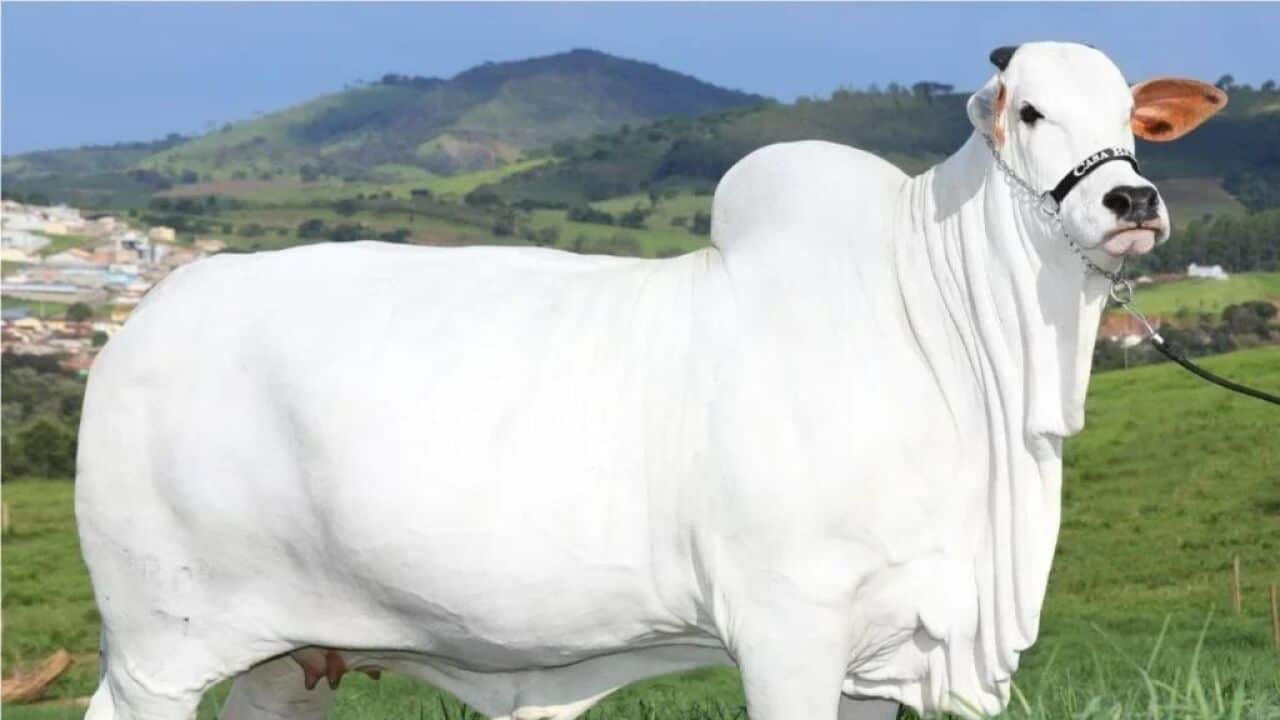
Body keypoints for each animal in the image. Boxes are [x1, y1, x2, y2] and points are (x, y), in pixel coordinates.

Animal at [77, 42, 1225, 720]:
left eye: (1131, 115)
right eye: (1028, 112)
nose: (1131, 202)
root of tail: (144, 325)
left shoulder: (882, 644)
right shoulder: (787, 630)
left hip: (291, 655)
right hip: (158, 650)